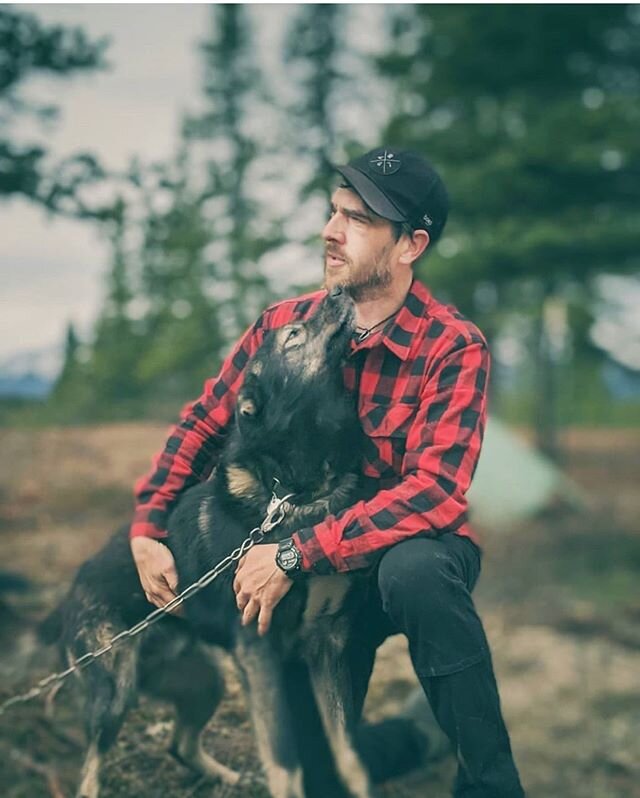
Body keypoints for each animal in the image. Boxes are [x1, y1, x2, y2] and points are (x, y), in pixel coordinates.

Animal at [40, 290, 378, 798]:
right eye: (293, 335)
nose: (338, 292)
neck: (297, 490)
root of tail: (73, 587)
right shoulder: (259, 653)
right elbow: (285, 761)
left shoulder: (328, 644)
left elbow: (350, 758)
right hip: (114, 696)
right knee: (90, 770)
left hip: (206, 682)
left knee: (179, 744)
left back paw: (228, 777)